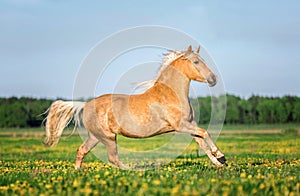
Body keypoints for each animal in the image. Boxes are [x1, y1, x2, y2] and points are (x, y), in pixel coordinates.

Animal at [43, 45, 226, 169]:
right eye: (196, 62)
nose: (213, 79)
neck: (171, 94)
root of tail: (86, 105)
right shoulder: (180, 126)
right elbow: (206, 132)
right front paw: (221, 156)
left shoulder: (190, 125)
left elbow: (202, 142)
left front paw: (219, 163)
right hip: (108, 137)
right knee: (112, 158)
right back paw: (131, 171)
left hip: (95, 136)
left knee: (82, 150)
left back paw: (78, 172)